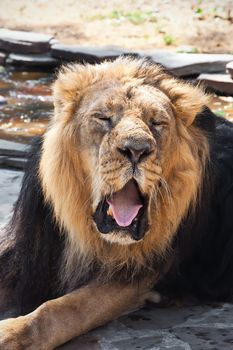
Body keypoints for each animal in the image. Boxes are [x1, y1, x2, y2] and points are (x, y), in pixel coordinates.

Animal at [0, 57, 233, 348]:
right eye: (103, 118)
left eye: (157, 123)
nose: (136, 149)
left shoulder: (135, 276)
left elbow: (64, 309)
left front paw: (9, 333)